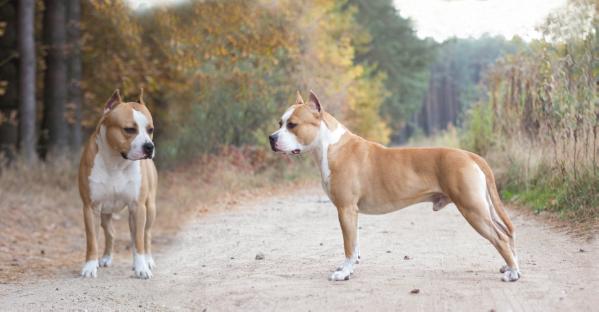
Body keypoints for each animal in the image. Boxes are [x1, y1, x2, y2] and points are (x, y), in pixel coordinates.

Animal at [78, 89, 158, 280]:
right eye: (129, 129)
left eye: (150, 130)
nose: (149, 146)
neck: (116, 162)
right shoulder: (90, 208)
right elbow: (92, 240)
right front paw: (90, 266)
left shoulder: (137, 207)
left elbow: (139, 240)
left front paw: (142, 268)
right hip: (105, 214)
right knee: (111, 233)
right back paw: (106, 258)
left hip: (150, 208)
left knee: (145, 234)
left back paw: (147, 260)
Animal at [270, 90, 524, 282]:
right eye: (280, 123)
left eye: (292, 125)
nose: (271, 138)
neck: (330, 145)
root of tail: (471, 155)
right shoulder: (351, 212)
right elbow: (355, 241)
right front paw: (351, 266)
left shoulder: (345, 208)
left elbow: (348, 245)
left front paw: (344, 272)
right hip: (483, 206)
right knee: (505, 232)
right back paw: (511, 266)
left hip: (472, 208)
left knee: (500, 237)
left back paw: (512, 273)